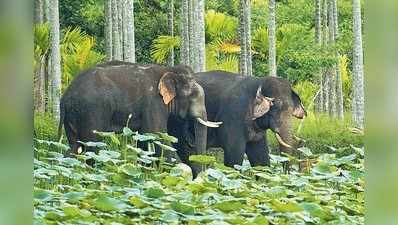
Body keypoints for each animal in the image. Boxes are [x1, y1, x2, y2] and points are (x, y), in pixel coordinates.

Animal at [58, 60, 221, 174]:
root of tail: (65, 97)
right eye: (193, 96)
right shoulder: (154, 102)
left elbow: (150, 140)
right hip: (91, 111)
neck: (168, 70)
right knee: (93, 146)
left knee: (74, 147)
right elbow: (157, 136)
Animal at [167, 70, 304, 171]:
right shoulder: (234, 115)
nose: (286, 171)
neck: (259, 81)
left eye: (291, 110)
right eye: (276, 108)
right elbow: (234, 157)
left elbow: (261, 159)